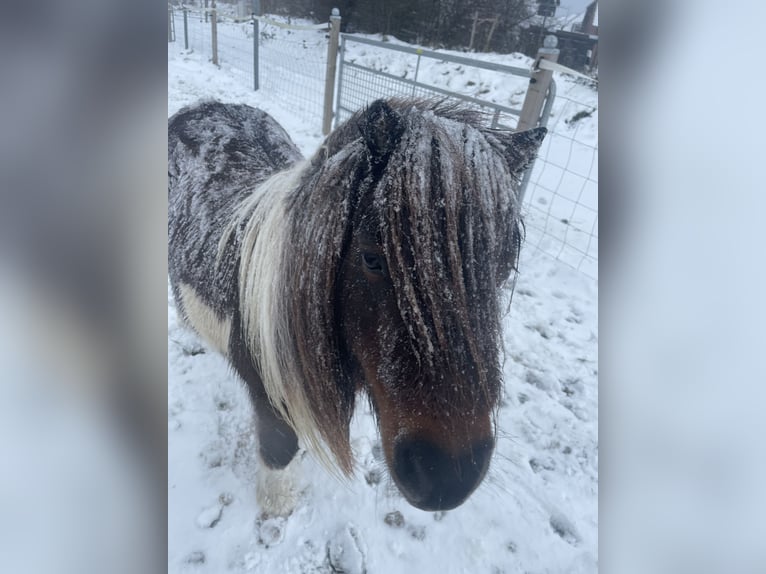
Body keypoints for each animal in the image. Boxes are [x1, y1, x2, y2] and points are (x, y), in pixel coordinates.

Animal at [171, 97, 548, 516]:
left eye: (505, 267)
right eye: (371, 260)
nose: (449, 480)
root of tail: (205, 106)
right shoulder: (270, 398)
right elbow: (280, 451)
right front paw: (278, 506)